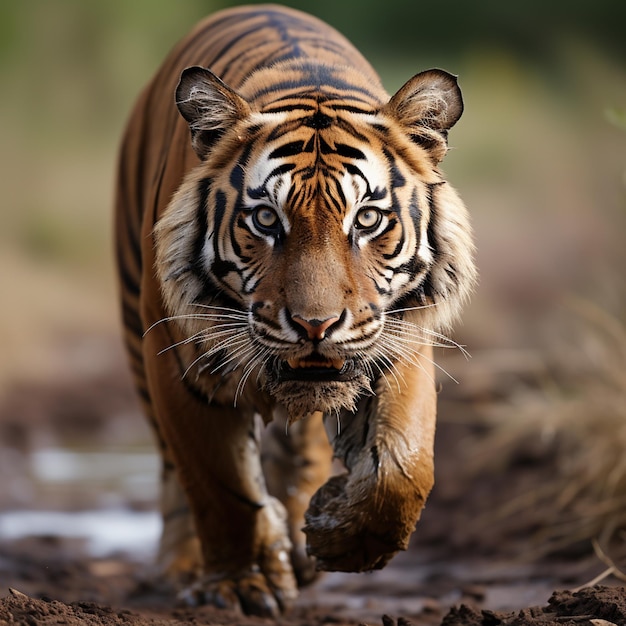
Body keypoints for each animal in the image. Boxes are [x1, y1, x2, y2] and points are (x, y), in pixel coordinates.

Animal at [113, 3, 472, 620]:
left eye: (367, 219)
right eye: (265, 220)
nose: (315, 326)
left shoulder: (397, 341)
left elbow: (402, 472)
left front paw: (334, 536)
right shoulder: (177, 360)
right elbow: (220, 488)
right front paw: (241, 584)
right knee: (171, 470)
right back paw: (186, 567)